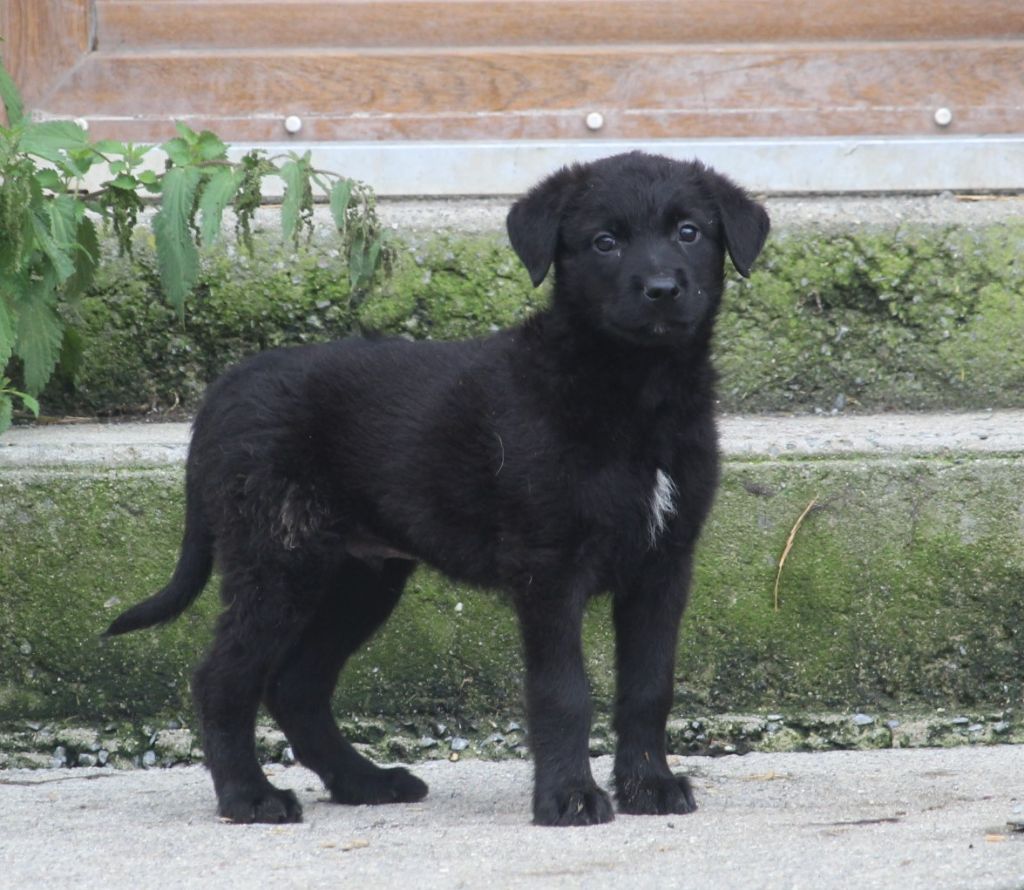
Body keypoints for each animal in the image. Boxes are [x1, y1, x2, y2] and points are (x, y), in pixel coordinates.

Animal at [110, 154, 770, 827]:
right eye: (604, 242)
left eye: (689, 232)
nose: (662, 289)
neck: (636, 393)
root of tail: (225, 389)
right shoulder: (549, 570)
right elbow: (564, 691)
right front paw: (568, 796)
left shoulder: (663, 565)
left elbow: (648, 685)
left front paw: (648, 785)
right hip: (277, 561)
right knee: (223, 680)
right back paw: (250, 796)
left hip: (359, 577)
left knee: (296, 685)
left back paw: (364, 781)